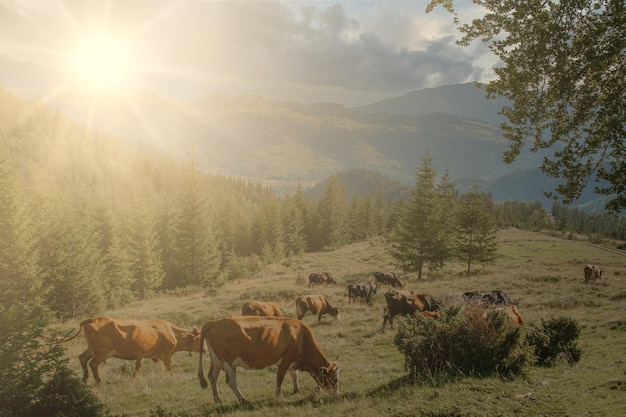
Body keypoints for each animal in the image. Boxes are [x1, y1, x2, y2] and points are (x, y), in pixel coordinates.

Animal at [62, 316, 201, 384]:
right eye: (200, 339)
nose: (204, 349)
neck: (172, 332)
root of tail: (89, 320)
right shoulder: (166, 355)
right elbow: (169, 367)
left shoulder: (142, 355)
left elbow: (138, 366)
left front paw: (133, 378)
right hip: (101, 353)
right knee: (93, 364)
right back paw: (98, 381)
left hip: (91, 349)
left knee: (83, 358)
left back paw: (85, 379)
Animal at [197, 316, 338, 404]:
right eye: (335, 379)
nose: (336, 394)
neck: (300, 336)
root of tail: (213, 322)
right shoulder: (286, 359)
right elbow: (280, 377)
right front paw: (280, 396)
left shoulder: (293, 361)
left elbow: (294, 374)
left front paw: (297, 390)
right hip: (229, 363)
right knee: (231, 381)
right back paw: (244, 400)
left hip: (216, 361)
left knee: (212, 377)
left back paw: (218, 399)